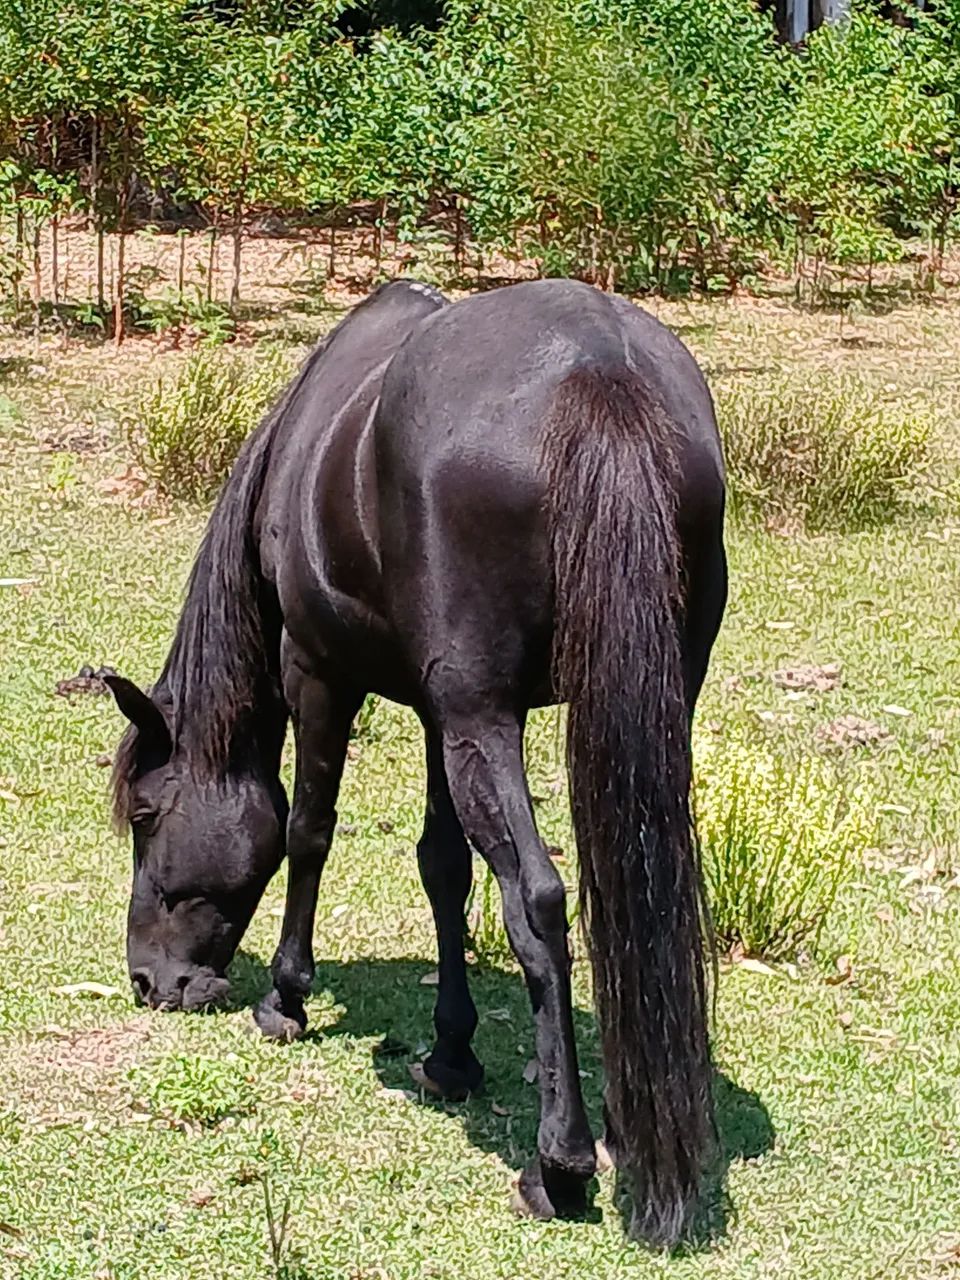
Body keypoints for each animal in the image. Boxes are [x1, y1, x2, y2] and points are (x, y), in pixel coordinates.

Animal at [105, 277, 727, 1247]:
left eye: (143, 816)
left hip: (484, 718)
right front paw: (451, 1051)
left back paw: (559, 1166)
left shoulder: (319, 674)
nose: (150, 981)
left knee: (539, 901)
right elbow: (443, 869)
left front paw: (286, 999)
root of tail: (599, 373)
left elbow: (308, 830)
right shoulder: (439, 715)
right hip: (631, 705)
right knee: (640, 886)